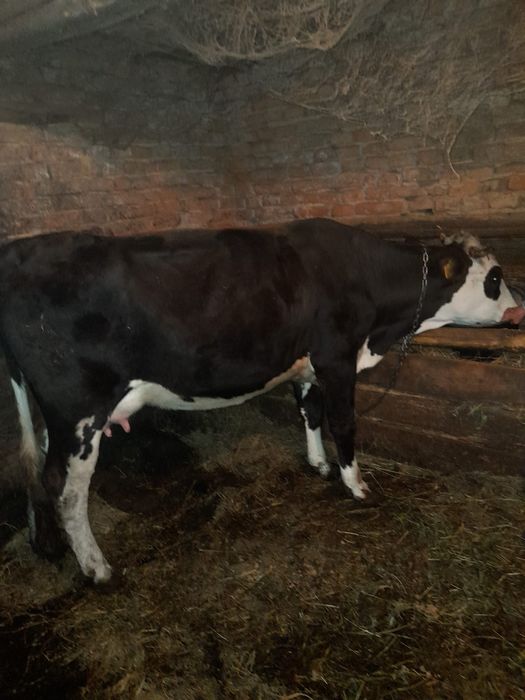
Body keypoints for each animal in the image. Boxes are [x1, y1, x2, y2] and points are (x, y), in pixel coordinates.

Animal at [0, 218, 518, 583]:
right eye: (495, 277)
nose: (518, 310)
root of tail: (18, 251)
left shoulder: (306, 364)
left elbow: (309, 411)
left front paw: (319, 464)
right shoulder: (336, 357)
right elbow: (343, 421)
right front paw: (356, 485)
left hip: (50, 413)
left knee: (39, 467)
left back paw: (45, 542)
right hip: (79, 411)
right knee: (65, 486)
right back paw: (97, 569)